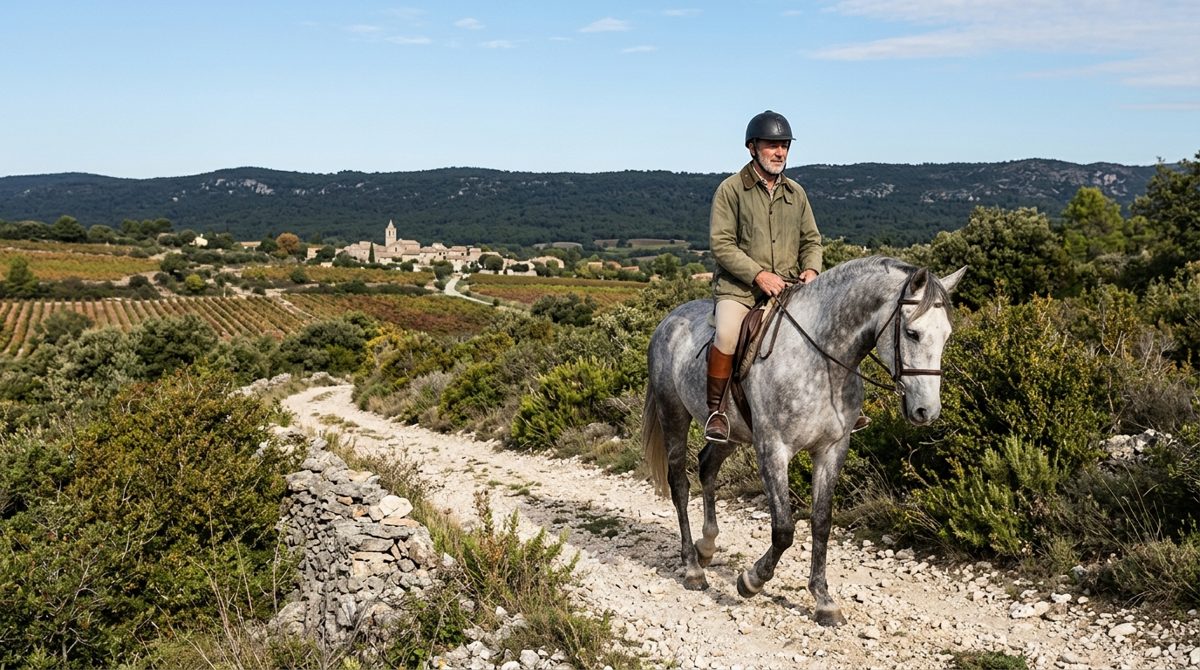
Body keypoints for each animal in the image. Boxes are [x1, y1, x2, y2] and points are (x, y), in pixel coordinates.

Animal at [642, 256, 966, 626]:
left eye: (947, 335)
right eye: (912, 333)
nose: (926, 411)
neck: (822, 360)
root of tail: (668, 320)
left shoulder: (831, 450)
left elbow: (821, 522)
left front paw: (824, 600)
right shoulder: (772, 449)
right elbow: (783, 528)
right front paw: (751, 581)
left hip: (731, 433)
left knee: (707, 465)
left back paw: (706, 547)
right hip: (673, 416)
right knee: (680, 485)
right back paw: (693, 568)